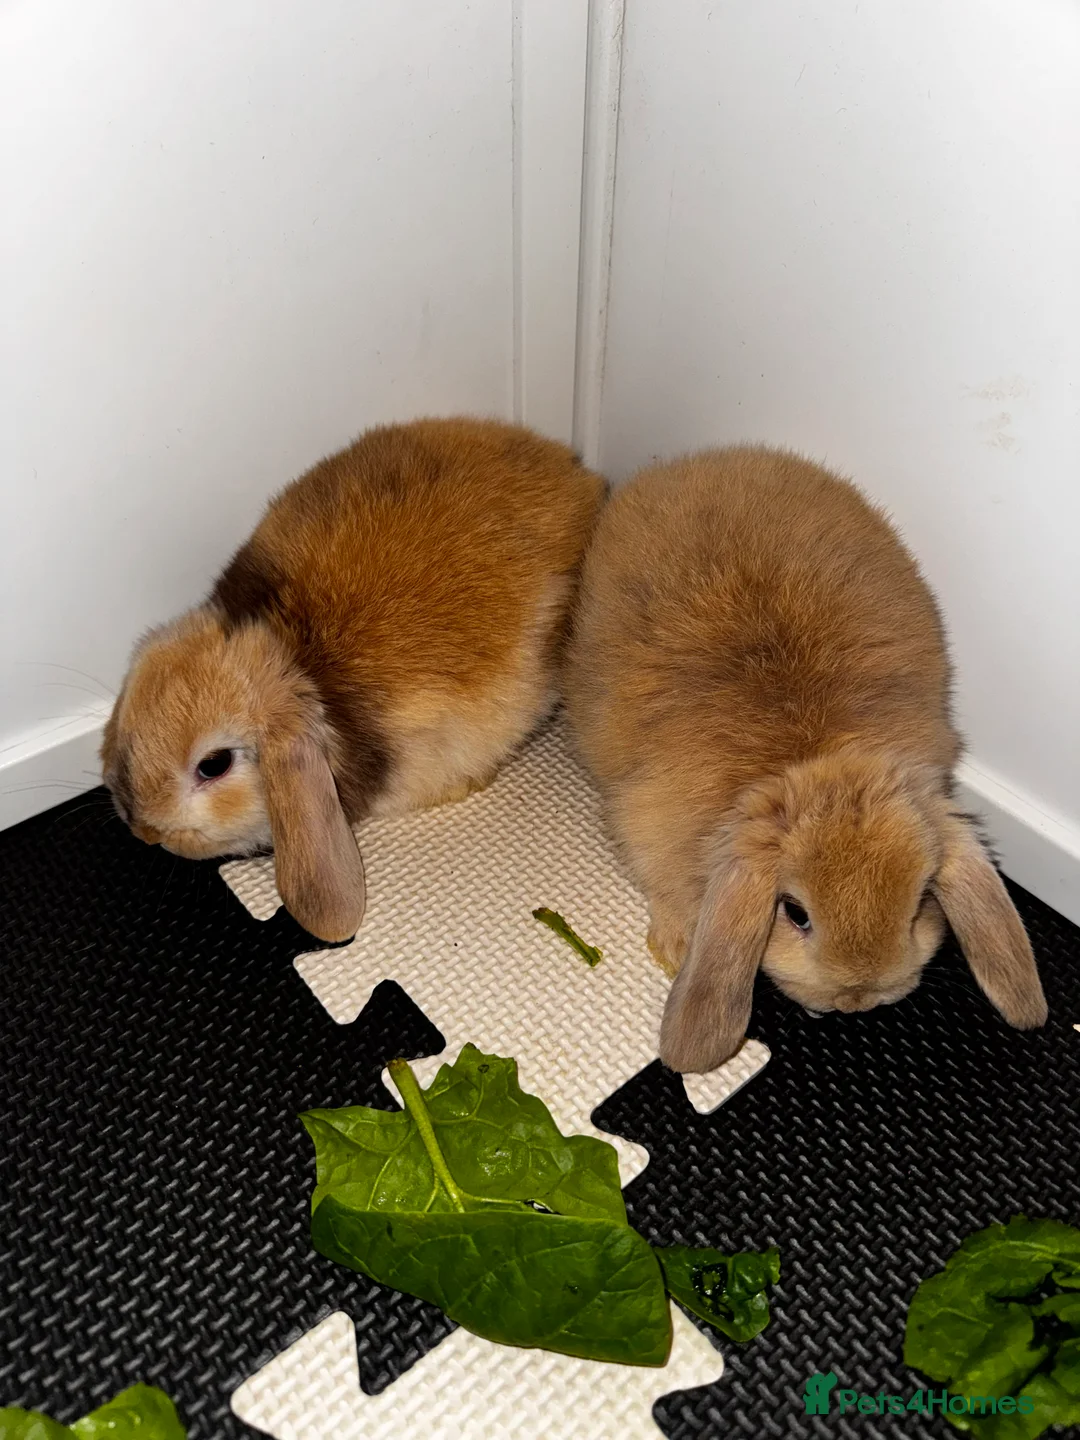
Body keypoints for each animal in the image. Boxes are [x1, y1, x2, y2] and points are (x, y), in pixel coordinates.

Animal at [565, 444, 1047, 1073]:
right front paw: (675, 947)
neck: (817, 756)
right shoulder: (649, 830)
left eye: (920, 901)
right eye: (795, 913)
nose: (856, 999)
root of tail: (716, 460)